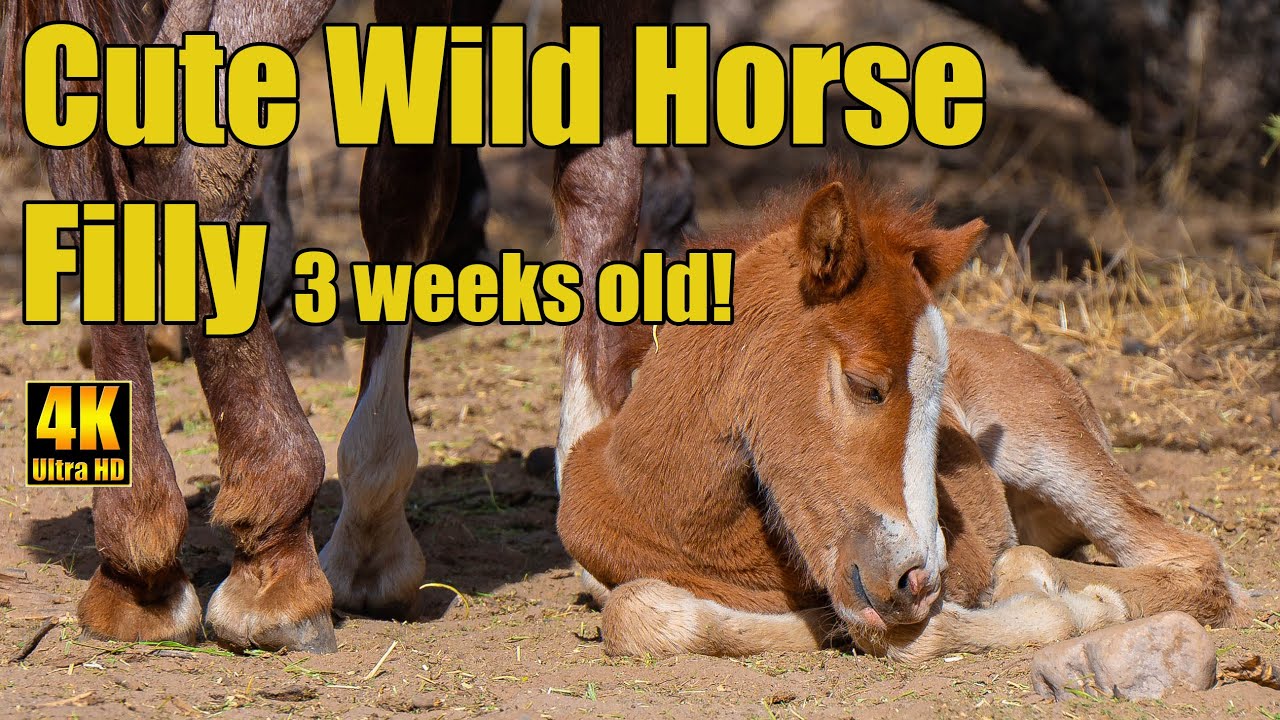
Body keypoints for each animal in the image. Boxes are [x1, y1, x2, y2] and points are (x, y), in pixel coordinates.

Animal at [6, 0, 683, 652]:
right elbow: (603, 183)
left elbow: (406, 188)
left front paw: (370, 536)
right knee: (194, 154)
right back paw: (275, 542)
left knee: (85, 162)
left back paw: (138, 548)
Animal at [557, 170, 1247, 661]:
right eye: (866, 385)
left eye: (941, 410)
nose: (917, 579)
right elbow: (633, 611)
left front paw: (1068, 605)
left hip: (1050, 447)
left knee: (1192, 562)